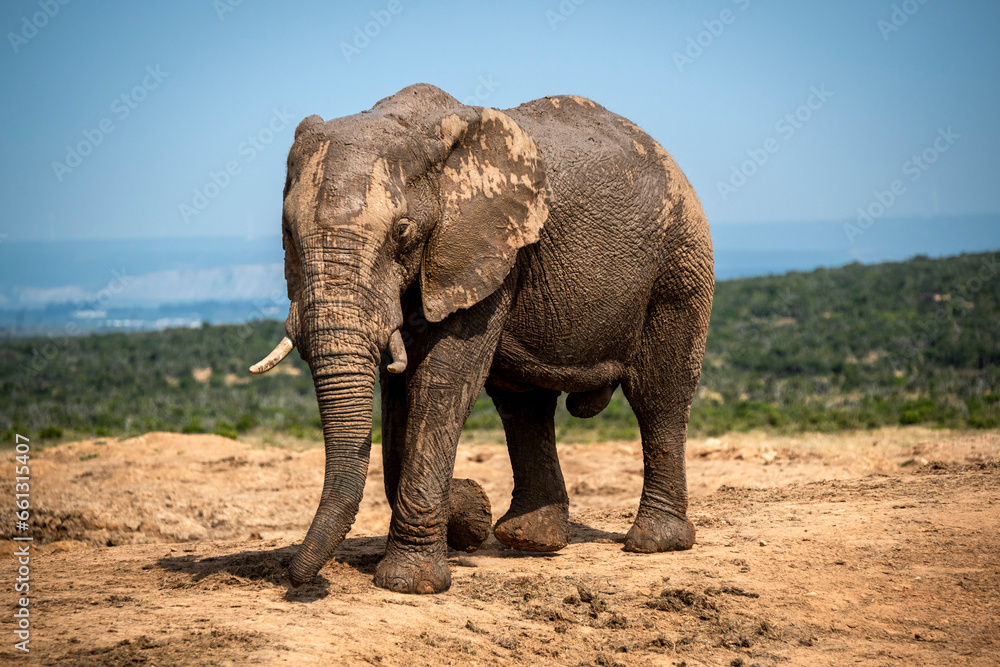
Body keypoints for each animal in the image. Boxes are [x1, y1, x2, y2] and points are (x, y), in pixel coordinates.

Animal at [252, 82, 720, 596]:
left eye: (402, 232)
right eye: (288, 233)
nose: (293, 578)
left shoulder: (484, 248)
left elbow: (439, 380)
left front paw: (409, 583)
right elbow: (400, 387)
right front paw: (466, 518)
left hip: (680, 263)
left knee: (659, 394)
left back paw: (653, 543)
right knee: (524, 404)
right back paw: (529, 539)